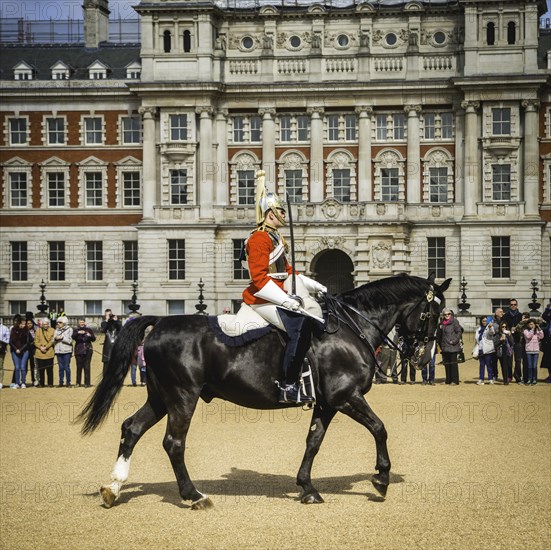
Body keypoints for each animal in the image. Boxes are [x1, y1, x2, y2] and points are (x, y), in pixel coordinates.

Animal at [81, 274, 452, 512]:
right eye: (433, 312)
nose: (421, 357)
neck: (351, 328)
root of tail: (160, 321)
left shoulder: (327, 404)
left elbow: (313, 442)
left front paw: (307, 487)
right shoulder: (346, 397)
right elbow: (379, 428)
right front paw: (382, 478)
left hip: (161, 398)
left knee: (131, 429)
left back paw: (113, 488)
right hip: (182, 398)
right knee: (173, 443)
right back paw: (194, 495)